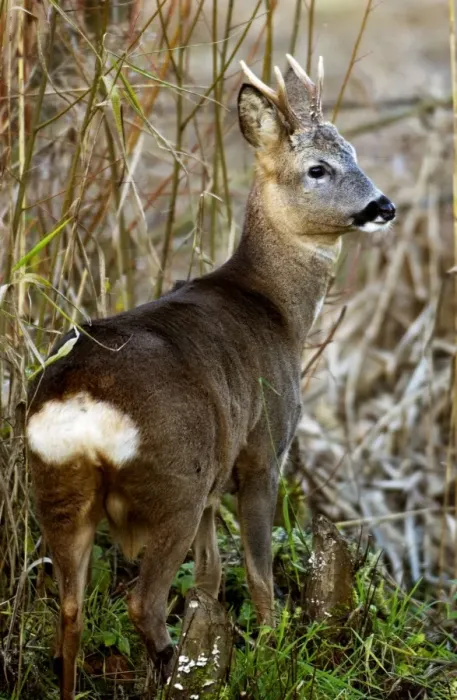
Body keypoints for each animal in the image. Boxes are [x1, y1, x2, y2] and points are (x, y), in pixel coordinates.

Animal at [25, 54, 395, 699]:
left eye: (353, 151)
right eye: (318, 168)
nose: (384, 207)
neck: (275, 308)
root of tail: (82, 406)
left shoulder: (217, 481)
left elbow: (208, 580)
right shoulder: (262, 449)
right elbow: (257, 574)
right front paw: (271, 649)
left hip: (59, 486)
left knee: (69, 612)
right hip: (176, 478)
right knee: (142, 604)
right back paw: (179, 673)